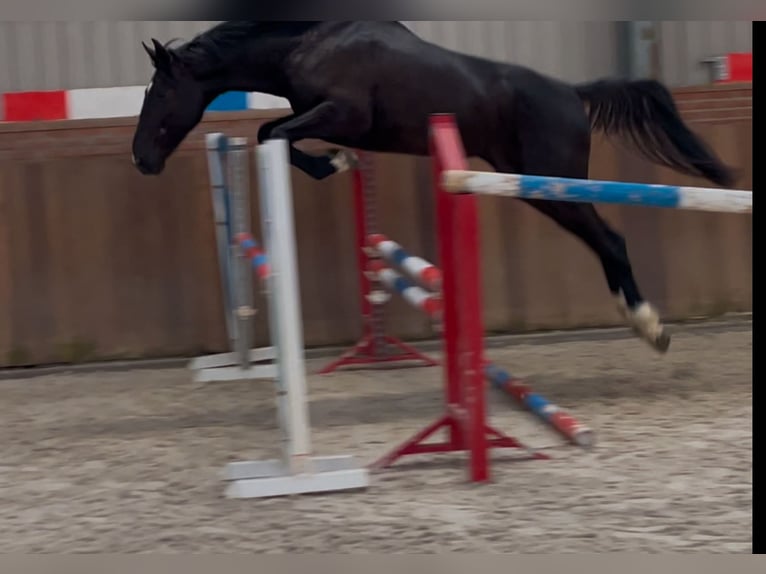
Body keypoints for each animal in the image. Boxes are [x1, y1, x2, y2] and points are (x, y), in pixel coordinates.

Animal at [134, 21, 736, 356]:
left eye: (159, 91)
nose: (141, 158)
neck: (307, 47)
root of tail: (573, 92)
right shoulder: (322, 115)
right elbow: (270, 132)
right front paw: (339, 161)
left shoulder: (342, 112)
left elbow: (274, 133)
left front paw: (336, 162)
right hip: (535, 189)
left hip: (550, 188)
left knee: (610, 240)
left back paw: (649, 326)